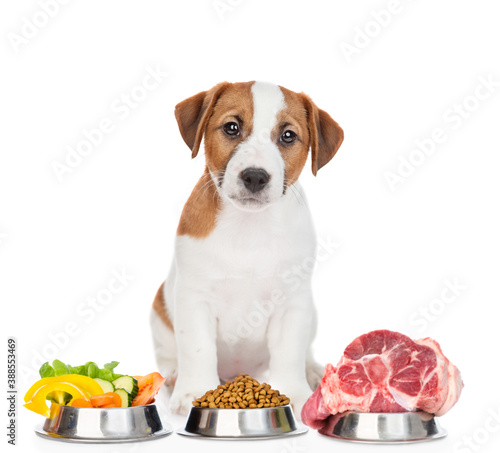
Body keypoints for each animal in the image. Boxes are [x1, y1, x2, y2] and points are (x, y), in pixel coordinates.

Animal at [148, 80, 344, 416]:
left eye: (288, 135)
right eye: (232, 127)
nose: (255, 176)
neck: (249, 226)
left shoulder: (292, 303)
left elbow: (289, 353)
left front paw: (296, 394)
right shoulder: (194, 299)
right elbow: (198, 349)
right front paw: (194, 393)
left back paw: (312, 371)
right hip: (159, 309)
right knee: (169, 355)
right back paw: (173, 376)